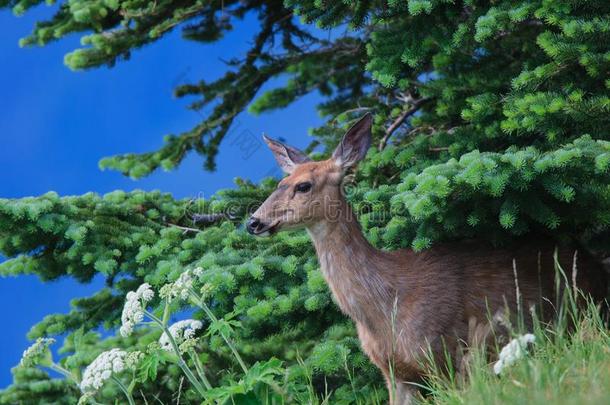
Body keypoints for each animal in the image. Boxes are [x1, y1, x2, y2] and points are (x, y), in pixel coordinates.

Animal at [245, 113, 604, 400]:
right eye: (280, 182)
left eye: (304, 186)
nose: (254, 221)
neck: (383, 304)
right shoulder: (393, 373)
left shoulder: (443, 354)